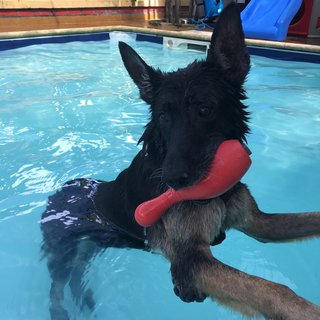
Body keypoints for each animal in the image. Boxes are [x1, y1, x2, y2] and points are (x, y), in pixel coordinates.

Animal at [42, 3, 320, 320]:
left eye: (204, 109)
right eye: (163, 116)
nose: (172, 180)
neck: (217, 195)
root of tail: (66, 187)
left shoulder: (259, 223)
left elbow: (308, 221)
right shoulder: (191, 261)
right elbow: (273, 290)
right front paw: (306, 311)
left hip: (91, 247)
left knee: (77, 275)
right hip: (65, 252)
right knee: (57, 285)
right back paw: (60, 310)